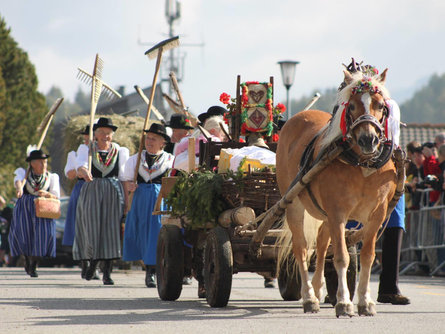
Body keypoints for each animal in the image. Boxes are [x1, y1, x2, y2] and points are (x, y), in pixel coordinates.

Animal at [276, 69, 398, 318]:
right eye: (351, 106)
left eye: (381, 105)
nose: (368, 140)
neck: (363, 165)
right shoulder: (338, 213)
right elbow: (341, 257)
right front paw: (344, 302)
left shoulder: (377, 215)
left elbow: (367, 257)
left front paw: (365, 301)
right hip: (294, 203)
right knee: (301, 248)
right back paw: (309, 297)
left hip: (324, 216)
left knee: (321, 245)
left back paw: (317, 288)